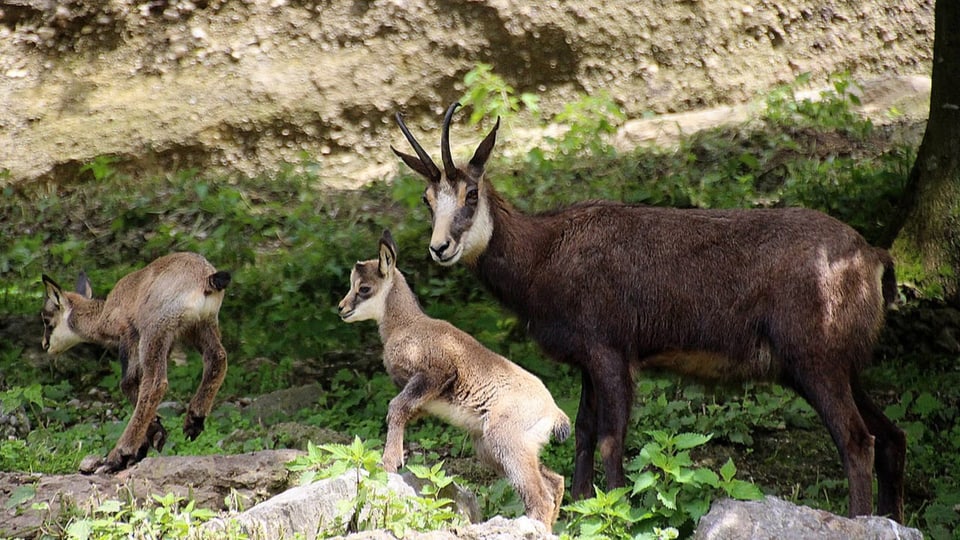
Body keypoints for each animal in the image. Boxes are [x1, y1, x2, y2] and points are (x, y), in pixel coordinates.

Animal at [41, 253, 231, 472]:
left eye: (46, 319)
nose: (45, 345)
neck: (104, 315)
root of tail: (205, 278)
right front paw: (152, 436)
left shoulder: (129, 335)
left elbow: (128, 382)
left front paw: (148, 440)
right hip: (201, 325)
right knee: (217, 358)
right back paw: (194, 421)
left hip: (155, 330)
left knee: (155, 383)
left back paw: (118, 455)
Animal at [340, 229, 568, 528]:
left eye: (364, 288)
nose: (341, 308)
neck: (406, 326)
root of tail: (553, 412)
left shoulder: (436, 372)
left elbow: (395, 408)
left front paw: (388, 463)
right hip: (494, 448)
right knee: (555, 482)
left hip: (506, 441)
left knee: (540, 496)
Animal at [392, 103, 908, 520]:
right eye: (426, 199)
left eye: (470, 193)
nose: (440, 248)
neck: (546, 255)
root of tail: (872, 256)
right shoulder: (587, 361)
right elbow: (582, 431)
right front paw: (582, 506)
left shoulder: (612, 352)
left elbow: (610, 437)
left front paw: (619, 508)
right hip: (836, 368)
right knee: (892, 436)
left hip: (816, 363)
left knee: (857, 440)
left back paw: (860, 519)